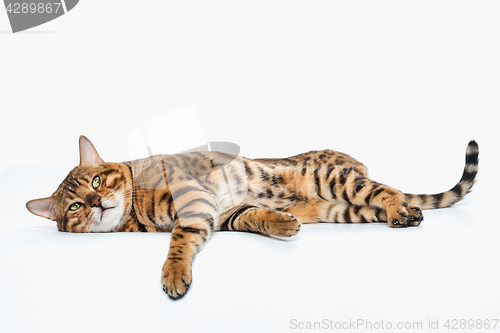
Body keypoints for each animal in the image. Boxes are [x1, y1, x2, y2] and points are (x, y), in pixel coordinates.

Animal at [25, 135, 478, 298]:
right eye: (74, 207)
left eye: (97, 180)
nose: (96, 202)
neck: (136, 213)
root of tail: (356, 162)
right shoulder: (225, 214)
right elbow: (255, 217)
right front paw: (281, 222)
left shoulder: (193, 200)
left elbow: (178, 240)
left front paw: (173, 273)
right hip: (344, 210)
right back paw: (407, 214)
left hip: (334, 179)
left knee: (389, 189)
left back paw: (400, 207)